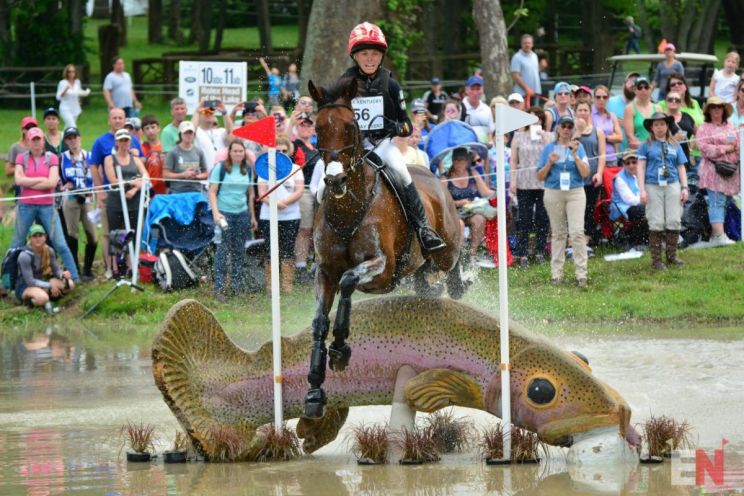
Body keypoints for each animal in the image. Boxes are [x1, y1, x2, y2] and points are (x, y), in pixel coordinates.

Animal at [300, 77, 464, 418]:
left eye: (351, 127)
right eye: (317, 128)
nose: (335, 180)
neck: (349, 208)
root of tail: (434, 175)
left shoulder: (382, 268)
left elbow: (349, 281)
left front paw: (340, 350)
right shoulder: (325, 272)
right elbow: (320, 320)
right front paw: (314, 391)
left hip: (446, 248)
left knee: (454, 259)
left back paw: (460, 281)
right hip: (421, 266)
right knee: (425, 283)